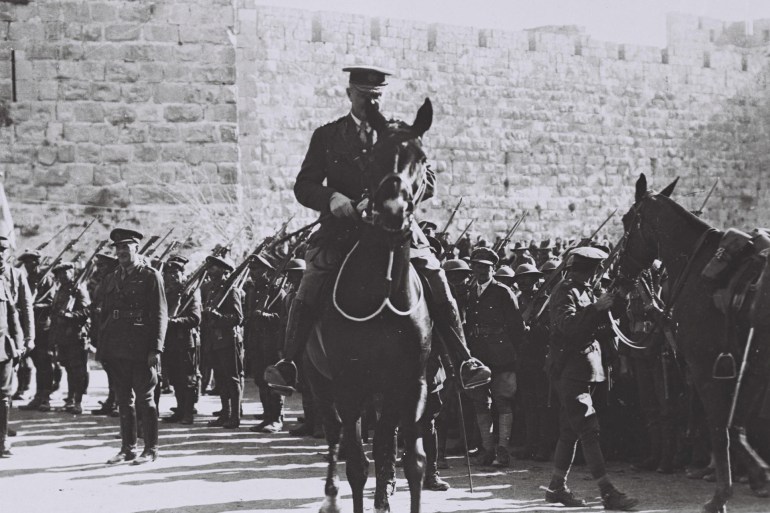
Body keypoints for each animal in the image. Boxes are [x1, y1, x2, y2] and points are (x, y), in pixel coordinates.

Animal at [304, 99, 438, 512]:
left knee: (383, 442)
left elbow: (412, 460)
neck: (382, 294)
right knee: (336, 439)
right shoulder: (349, 385)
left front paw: (392, 488)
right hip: (323, 386)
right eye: (372, 157)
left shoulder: (410, 384)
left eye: (422, 159)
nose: (393, 210)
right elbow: (357, 465)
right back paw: (332, 492)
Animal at [612, 173, 768, 512]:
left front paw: (722, 494)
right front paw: (758, 475)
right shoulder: (750, 367)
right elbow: (736, 426)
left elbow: (721, 428)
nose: (618, 274)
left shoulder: (706, 368)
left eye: (627, 219)